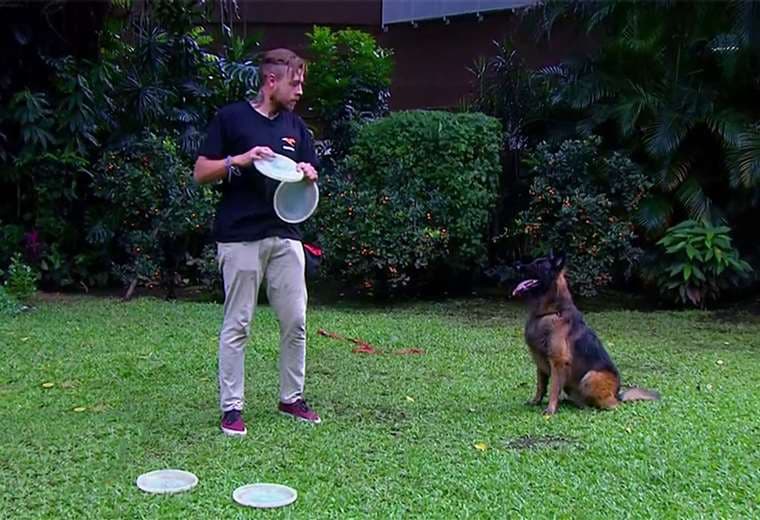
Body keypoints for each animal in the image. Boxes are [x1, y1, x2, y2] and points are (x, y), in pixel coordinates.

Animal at [511, 251, 659, 415]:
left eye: (538, 265)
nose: (516, 265)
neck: (549, 313)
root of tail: (617, 394)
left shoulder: (558, 362)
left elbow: (553, 388)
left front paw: (550, 410)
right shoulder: (540, 362)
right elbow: (541, 386)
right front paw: (536, 401)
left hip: (590, 377)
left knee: (612, 405)